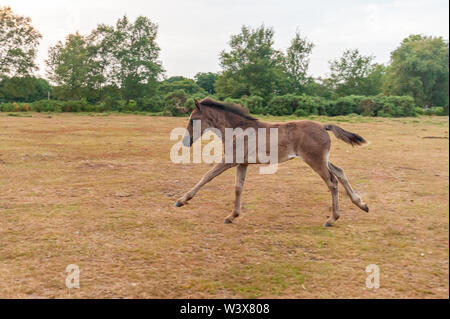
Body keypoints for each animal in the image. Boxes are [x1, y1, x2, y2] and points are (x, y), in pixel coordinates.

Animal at [174, 98, 368, 228]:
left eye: (193, 120)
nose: (186, 142)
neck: (238, 131)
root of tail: (323, 126)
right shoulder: (242, 163)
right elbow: (238, 187)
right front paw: (232, 215)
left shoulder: (230, 160)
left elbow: (207, 176)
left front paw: (182, 200)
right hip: (323, 159)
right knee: (340, 172)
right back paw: (362, 204)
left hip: (315, 161)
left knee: (332, 182)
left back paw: (332, 219)